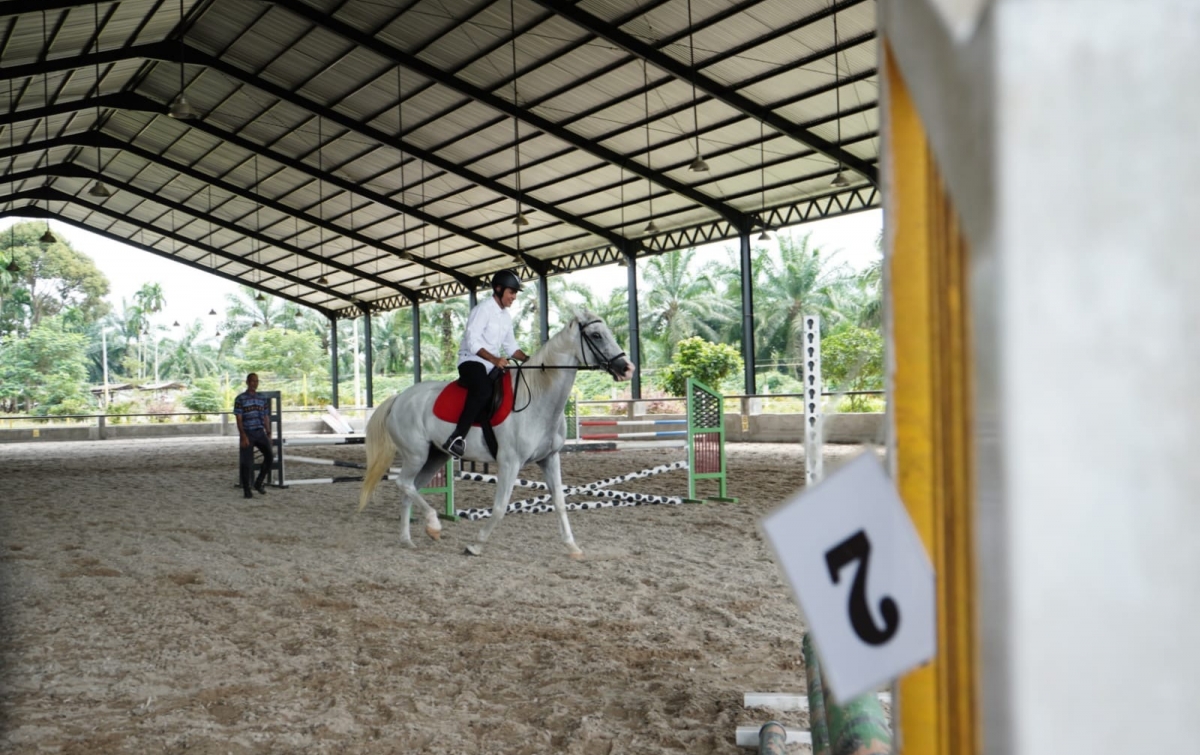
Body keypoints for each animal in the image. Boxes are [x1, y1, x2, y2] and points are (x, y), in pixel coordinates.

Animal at [357, 309, 633, 556]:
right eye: (596, 335)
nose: (626, 368)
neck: (538, 398)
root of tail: (398, 398)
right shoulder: (510, 462)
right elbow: (500, 507)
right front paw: (475, 545)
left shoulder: (550, 458)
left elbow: (560, 502)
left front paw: (572, 547)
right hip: (416, 455)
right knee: (404, 483)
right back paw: (433, 524)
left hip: (435, 457)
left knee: (409, 489)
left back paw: (408, 539)